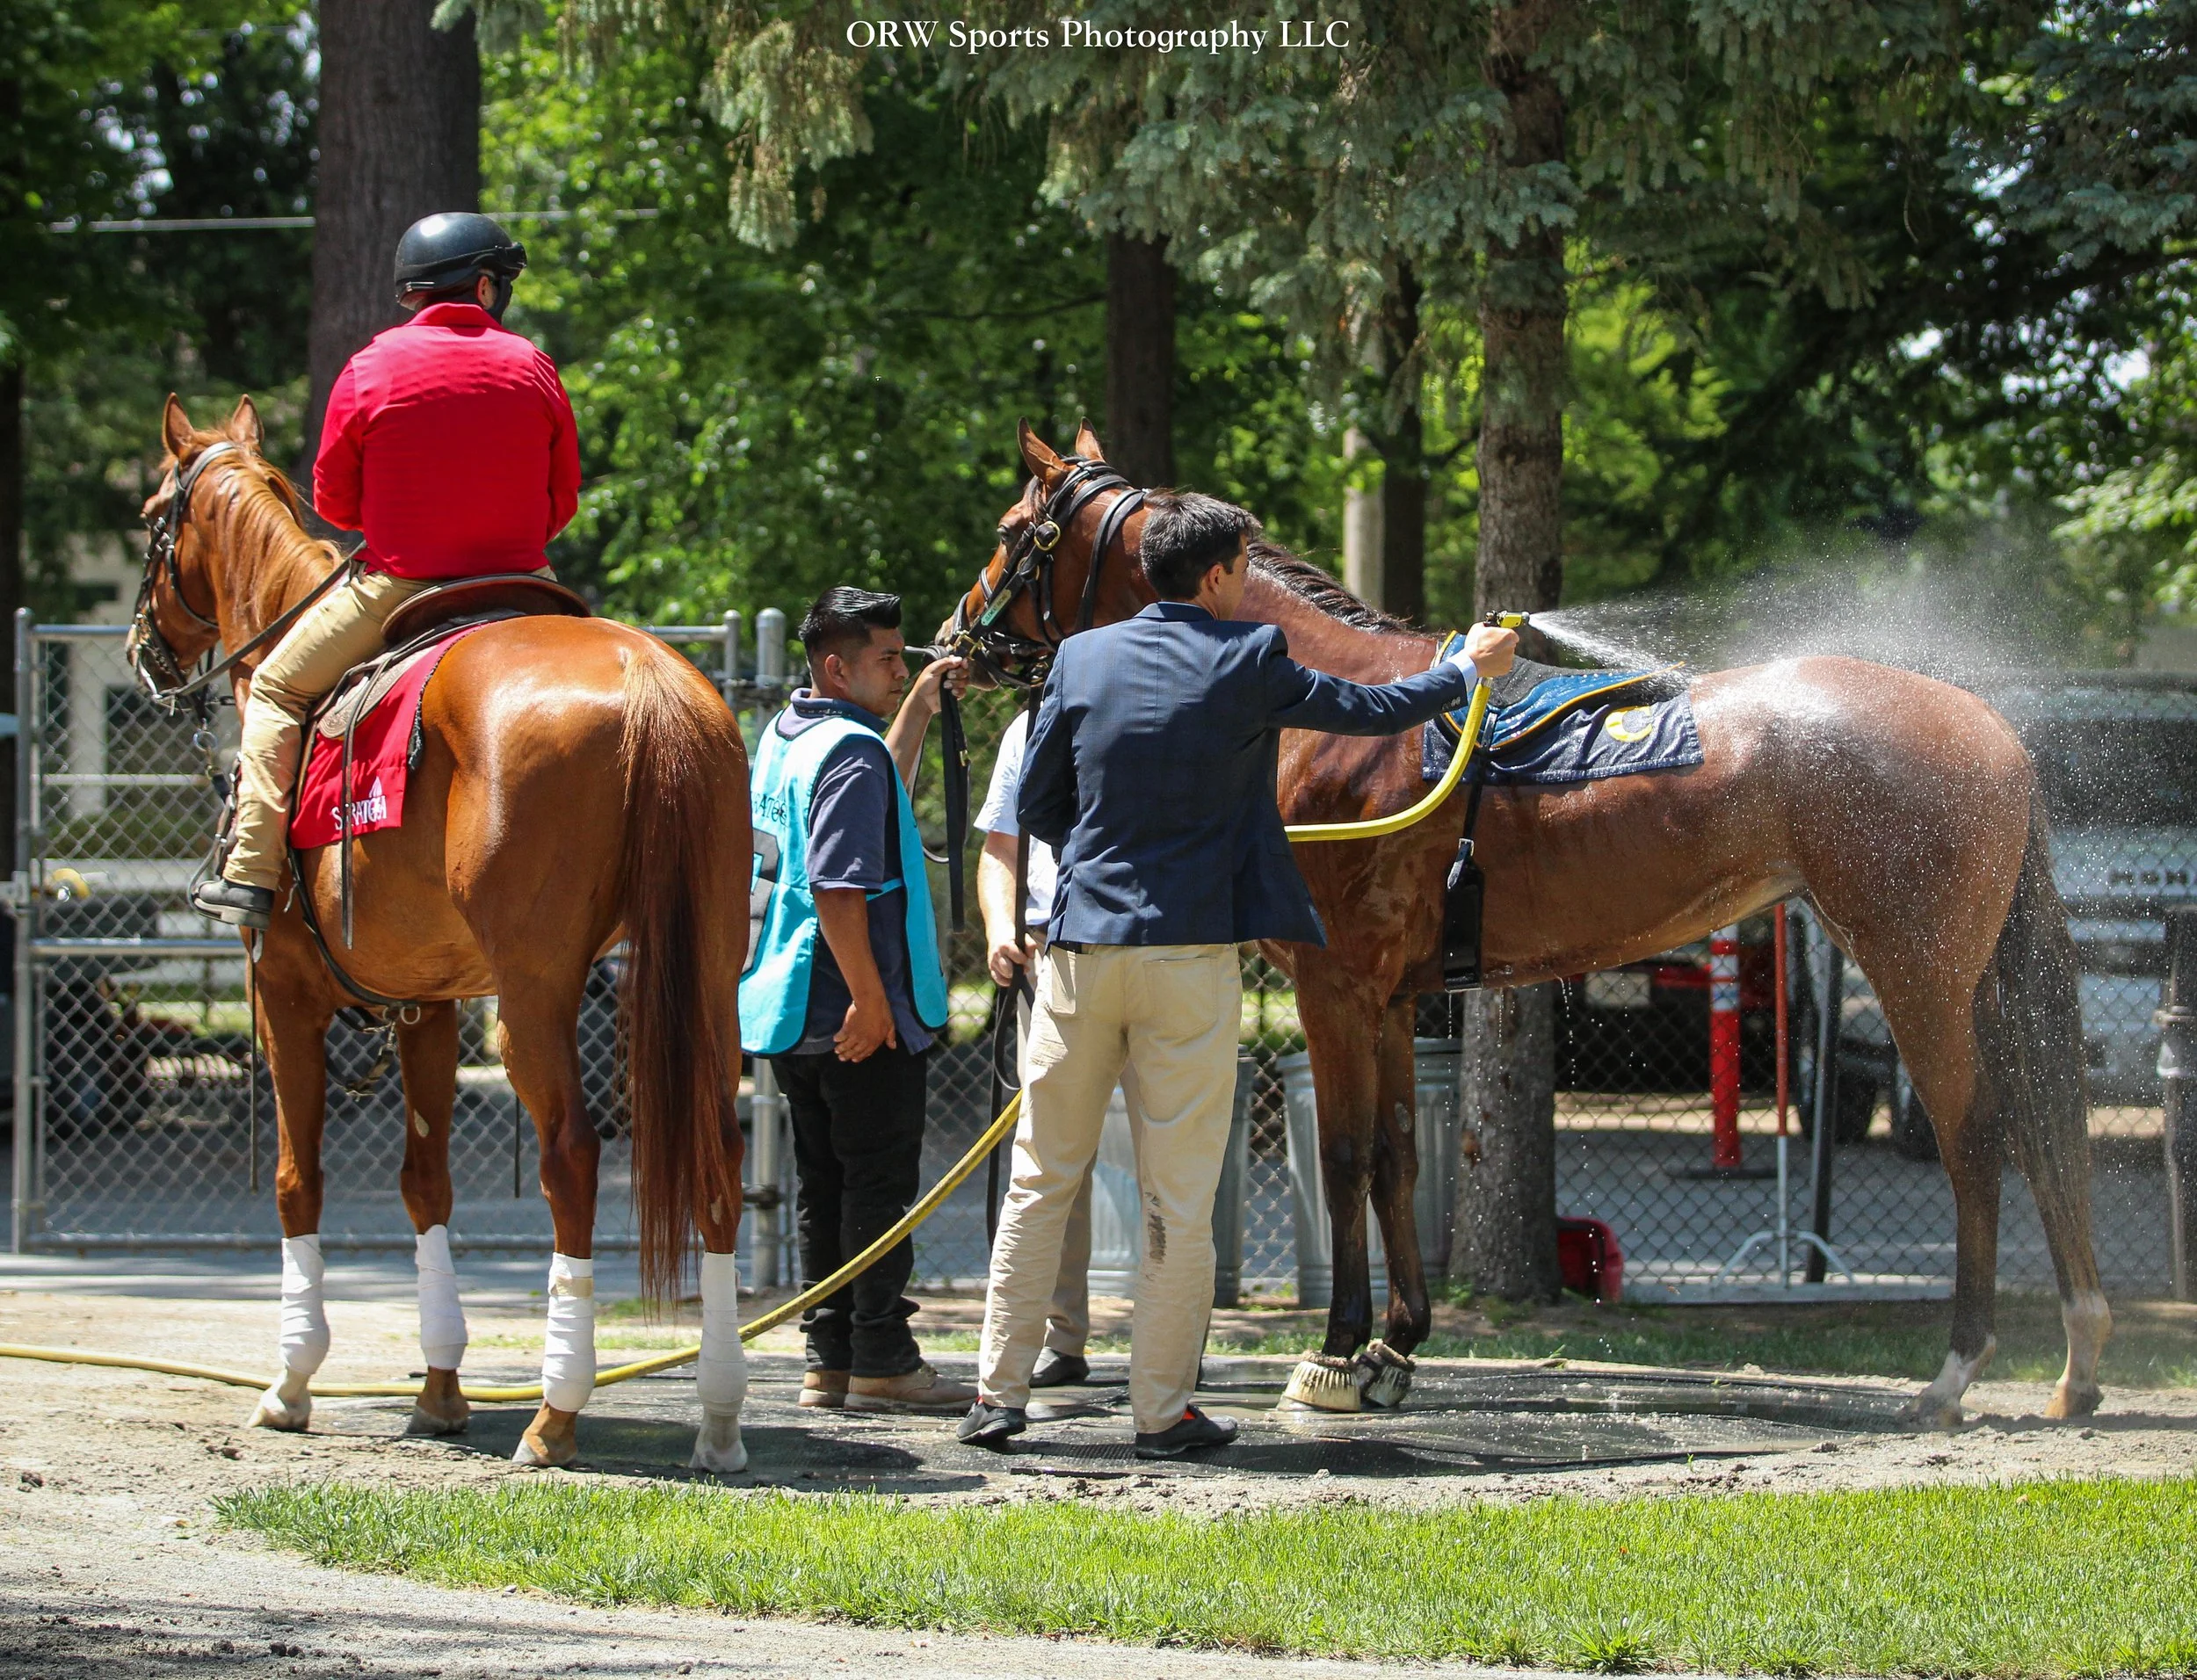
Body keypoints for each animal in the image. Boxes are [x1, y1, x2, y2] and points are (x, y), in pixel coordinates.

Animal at [128, 395, 752, 1470]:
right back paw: (716, 1418)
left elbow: (297, 1181)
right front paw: (441, 1387)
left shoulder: (281, 997)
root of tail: (645, 680)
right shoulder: (424, 1008)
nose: (141, 651)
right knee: (716, 1148)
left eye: (149, 516)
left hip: (535, 998)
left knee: (572, 1155)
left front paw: (291, 1382)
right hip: (705, 974)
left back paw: (555, 1412)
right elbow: (426, 1186)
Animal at [944, 419, 2108, 1427]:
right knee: (2040, 1132)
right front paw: (1395, 1346)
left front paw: (1337, 1351)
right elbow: (1398, 1158)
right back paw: (2077, 1365)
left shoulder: (1334, 985)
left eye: (1011, 529)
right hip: (1973, 982)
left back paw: (1955, 1370)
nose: (959, 634)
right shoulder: (1392, 999)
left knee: (1976, 1138)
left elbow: (1345, 1158)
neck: (1328, 708)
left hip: (1917, 976)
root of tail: (1991, 729)